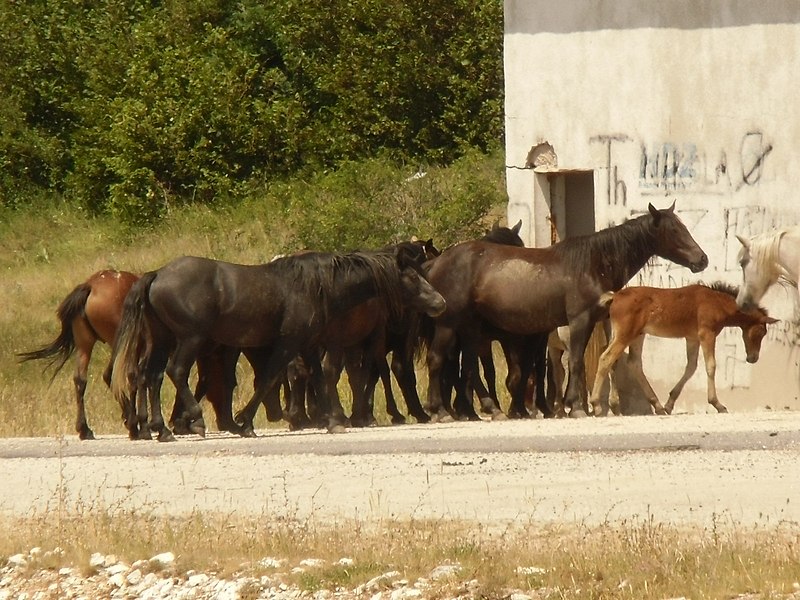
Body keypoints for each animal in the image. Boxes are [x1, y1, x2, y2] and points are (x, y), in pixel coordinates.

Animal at [109, 248, 446, 440]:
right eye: (412, 278)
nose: (440, 303)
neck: (315, 286)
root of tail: (156, 275)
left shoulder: (308, 345)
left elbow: (319, 378)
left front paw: (331, 421)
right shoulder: (289, 342)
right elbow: (269, 379)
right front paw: (245, 421)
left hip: (162, 340)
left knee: (150, 376)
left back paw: (161, 429)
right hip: (190, 339)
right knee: (175, 372)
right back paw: (194, 419)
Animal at [424, 204, 708, 420]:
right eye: (674, 230)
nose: (702, 259)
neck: (593, 263)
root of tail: (436, 263)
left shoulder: (594, 321)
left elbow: (589, 362)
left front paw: (584, 405)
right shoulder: (579, 320)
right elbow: (576, 362)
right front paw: (578, 406)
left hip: (471, 329)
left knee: (468, 367)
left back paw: (488, 409)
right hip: (448, 325)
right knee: (437, 360)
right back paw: (440, 411)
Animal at [592, 282, 776, 414]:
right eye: (761, 332)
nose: (753, 358)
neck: (717, 302)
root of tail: (615, 297)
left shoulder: (692, 338)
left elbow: (691, 367)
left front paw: (669, 404)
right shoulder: (706, 334)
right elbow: (711, 366)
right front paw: (718, 404)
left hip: (636, 335)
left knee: (631, 363)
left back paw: (654, 406)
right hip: (626, 334)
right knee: (606, 358)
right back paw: (596, 405)